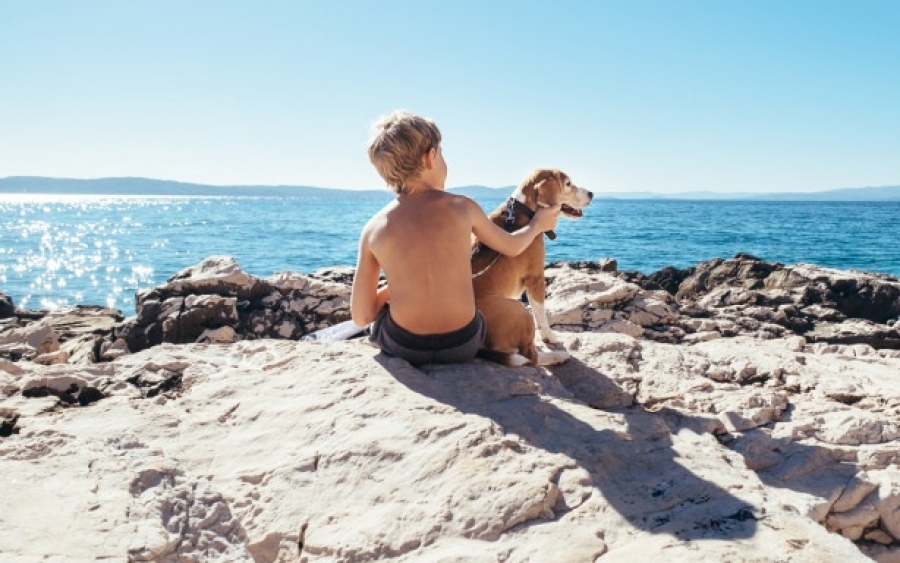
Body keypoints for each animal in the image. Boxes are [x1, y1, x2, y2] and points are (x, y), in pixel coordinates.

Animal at [472, 170, 592, 368]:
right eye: (568, 184)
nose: (591, 194)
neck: (524, 209)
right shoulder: (536, 278)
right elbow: (541, 315)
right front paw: (550, 337)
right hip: (520, 310)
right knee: (531, 357)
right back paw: (557, 356)